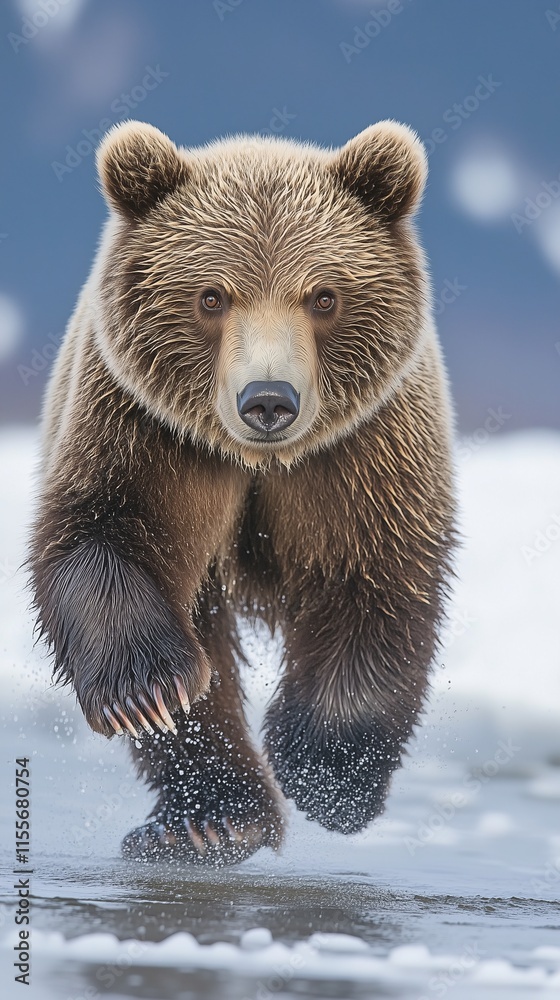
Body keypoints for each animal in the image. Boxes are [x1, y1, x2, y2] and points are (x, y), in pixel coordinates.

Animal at [29, 119, 456, 865]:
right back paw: (208, 819)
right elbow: (102, 537)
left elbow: (374, 582)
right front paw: (147, 691)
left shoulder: (363, 454)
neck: (259, 461)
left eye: (324, 295)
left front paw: (329, 776)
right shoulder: (143, 433)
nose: (268, 400)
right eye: (211, 296)